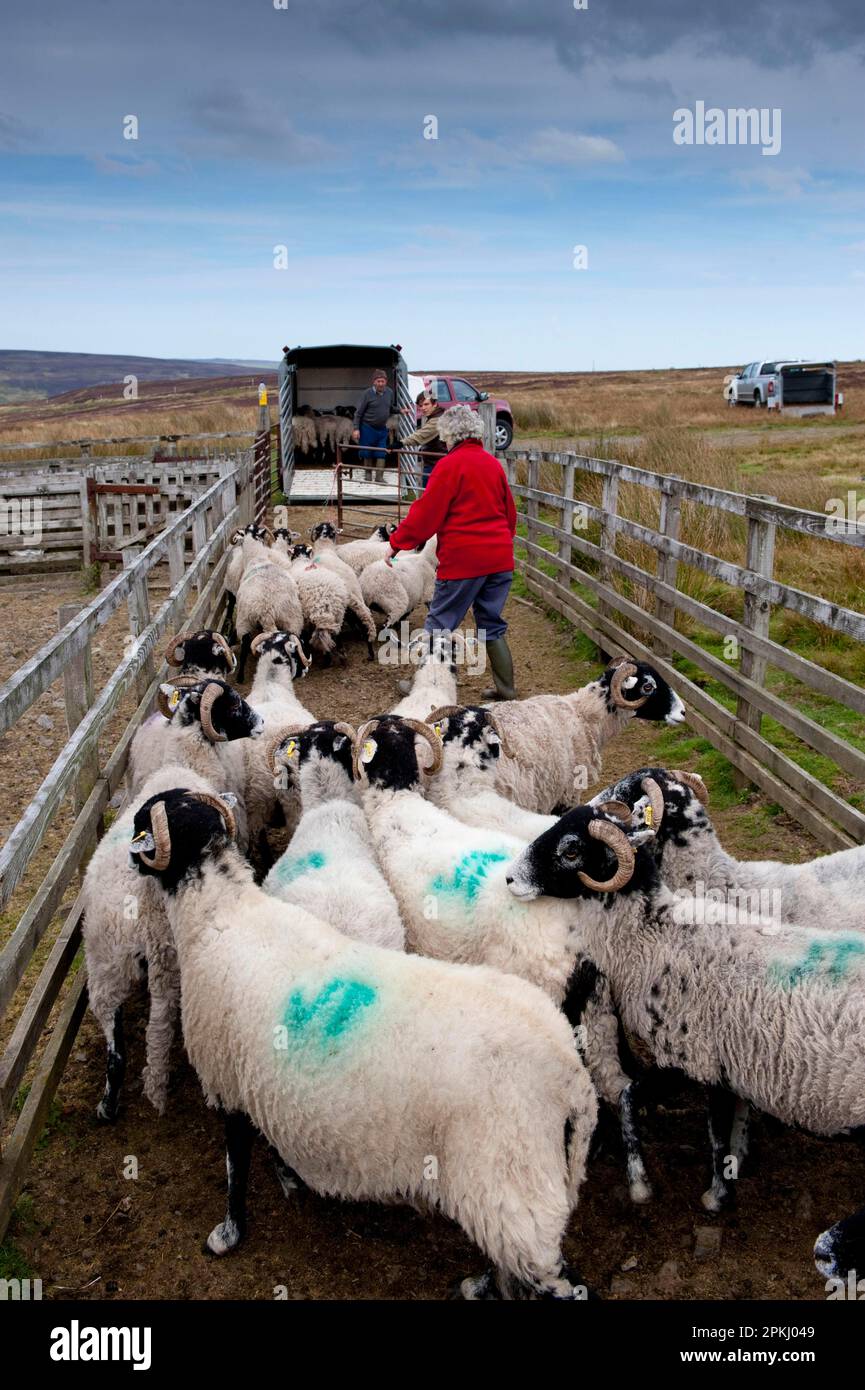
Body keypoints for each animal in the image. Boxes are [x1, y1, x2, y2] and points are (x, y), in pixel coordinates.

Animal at [128, 789, 600, 1295]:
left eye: (142, 823)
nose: (129, 859)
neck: (222, 913)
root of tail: (571, 1078)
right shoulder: (254, 1082)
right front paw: (287, 1175)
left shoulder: (226, 1080)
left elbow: (236, 1162)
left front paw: (228, 1233)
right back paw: (483, 1284)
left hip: (510, 1178)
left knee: (560, 1280)